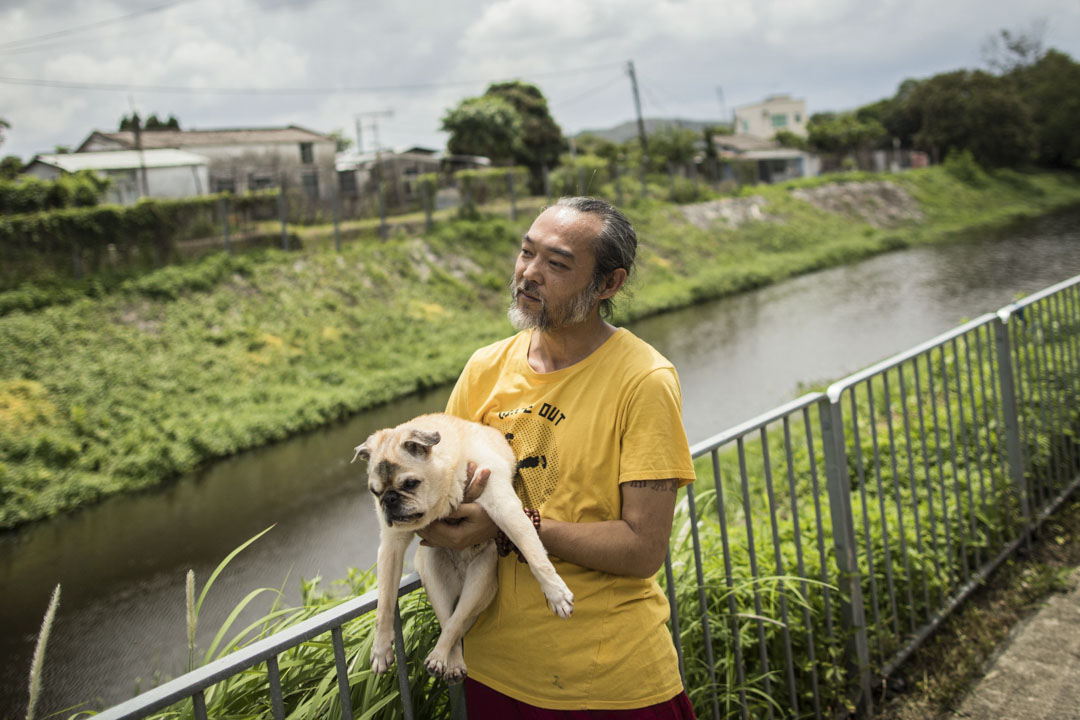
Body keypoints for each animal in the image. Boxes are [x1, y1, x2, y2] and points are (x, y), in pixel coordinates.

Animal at [352, 414, 574, 686]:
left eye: (411, 484)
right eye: (375, 492)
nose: (390, 500)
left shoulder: (504, 507)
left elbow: (535, 556)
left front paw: (556, 594)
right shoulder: (391, 546)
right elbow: (384, 603)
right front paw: (381, 648)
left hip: (479, 582)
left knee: (456, 621)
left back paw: (440, 656)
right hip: (433, 575)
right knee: (449, 622)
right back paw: (447, 661)